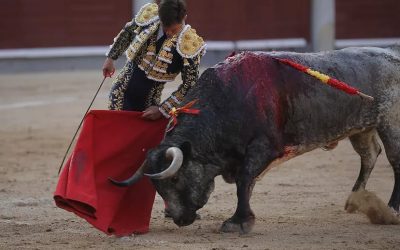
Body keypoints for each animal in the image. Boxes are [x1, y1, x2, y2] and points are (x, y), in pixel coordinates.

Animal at [110, 45, 400, 234]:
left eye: (174, 179)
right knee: (369, 155)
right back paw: (355, 200)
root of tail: (394, 56)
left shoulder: (263, 147)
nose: (176, 217)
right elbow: (245, 184)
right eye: (157, 186)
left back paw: (391, 209)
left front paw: (238, 222)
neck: (226, 101)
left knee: (394, 160)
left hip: (390, 123)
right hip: (362, 128)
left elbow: (244, 182)